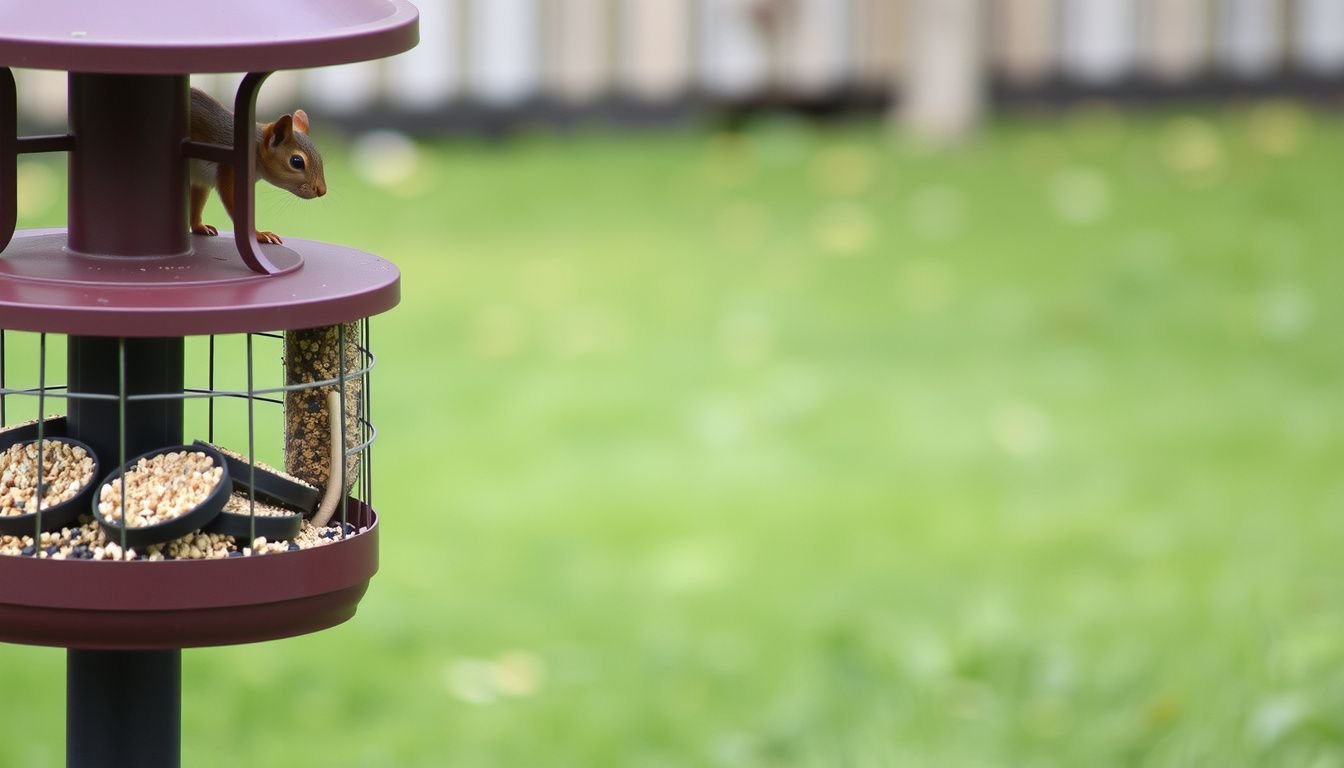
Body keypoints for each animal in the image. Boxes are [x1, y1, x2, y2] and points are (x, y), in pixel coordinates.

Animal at [188, 87, 327, 245]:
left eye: (319, 156)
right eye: (297, 162)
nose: (322, 190)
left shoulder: (201, 180)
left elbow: (197, 202)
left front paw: (199, 226)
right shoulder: (228, 170)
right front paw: (259, 235)